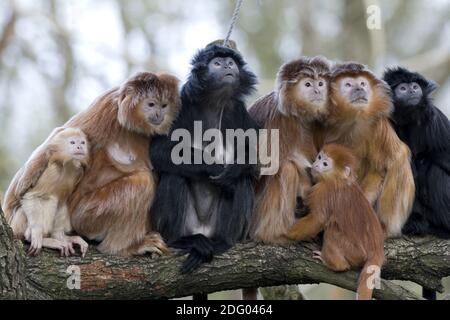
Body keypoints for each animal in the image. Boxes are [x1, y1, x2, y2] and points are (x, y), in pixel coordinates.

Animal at [2, 127, 89, 258]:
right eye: (73, 142)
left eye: (82, 142)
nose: (79, 147)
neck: (64, 164)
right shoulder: (51, 167)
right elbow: (32, 195)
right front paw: (37, 232)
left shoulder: (77, 171)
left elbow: (63, 201)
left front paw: (60, 236)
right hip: (15, 226)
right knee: (47, 199)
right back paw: (38, 239)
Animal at [286, 145, 384, 300]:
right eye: (319, 157)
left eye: (325, 164)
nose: (316, 165)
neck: (338, 180)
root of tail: (377, 250)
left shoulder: (323, 190)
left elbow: (318, 219)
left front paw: (286, 233)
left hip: (356, 253)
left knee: (332, 230)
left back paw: (336, 265)